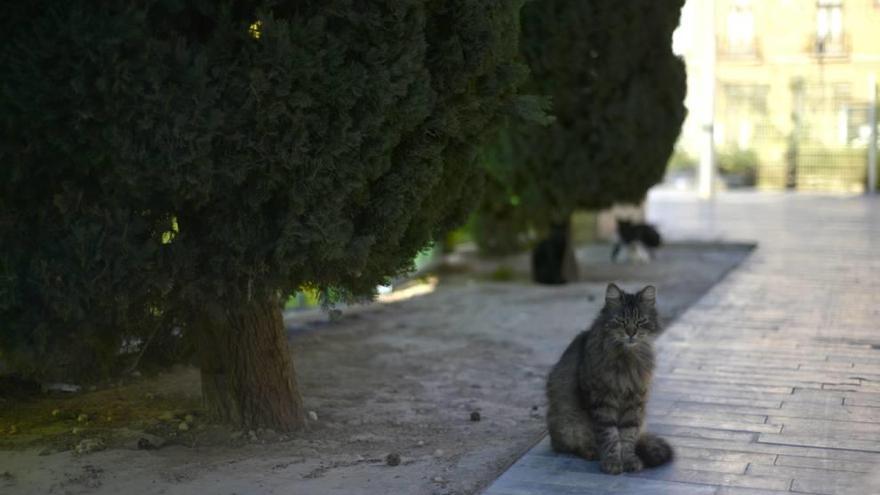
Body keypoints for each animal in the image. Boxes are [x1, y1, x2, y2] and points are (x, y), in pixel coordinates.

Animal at [544, 284, 672, 474]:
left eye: (640, 321)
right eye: (621, 321)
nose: (631, 333)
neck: (627, 358)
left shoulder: (635, 400)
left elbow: (627, 436)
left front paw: (629, 460)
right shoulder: (601, 399)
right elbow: (610, 435)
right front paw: (612, 461)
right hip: (567, 423)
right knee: (568, 446)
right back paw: (591, 452)